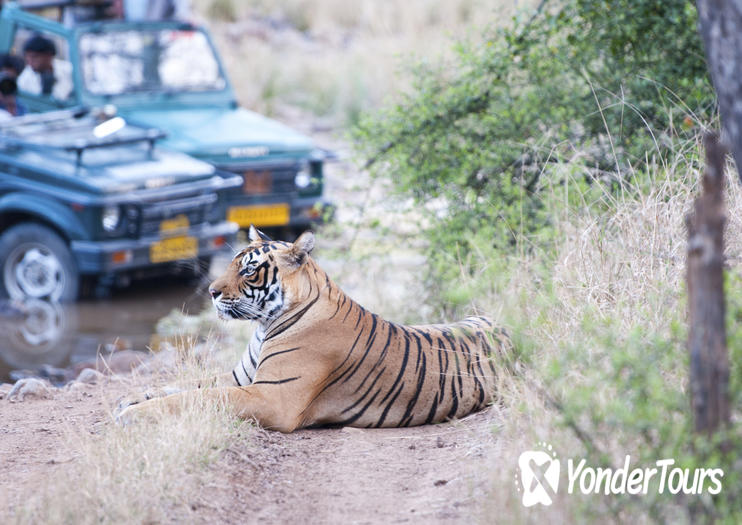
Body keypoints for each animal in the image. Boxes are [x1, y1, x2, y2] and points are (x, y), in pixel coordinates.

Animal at [117, 223, 512, 432]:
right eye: (231, 264)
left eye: (248, 270)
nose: (211, 292)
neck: (264, 325)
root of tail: (503, 325)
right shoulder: (241, 378)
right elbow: (183, 386)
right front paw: (131, 398)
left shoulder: (270, 397)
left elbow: (200, 396)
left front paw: (132, 414)